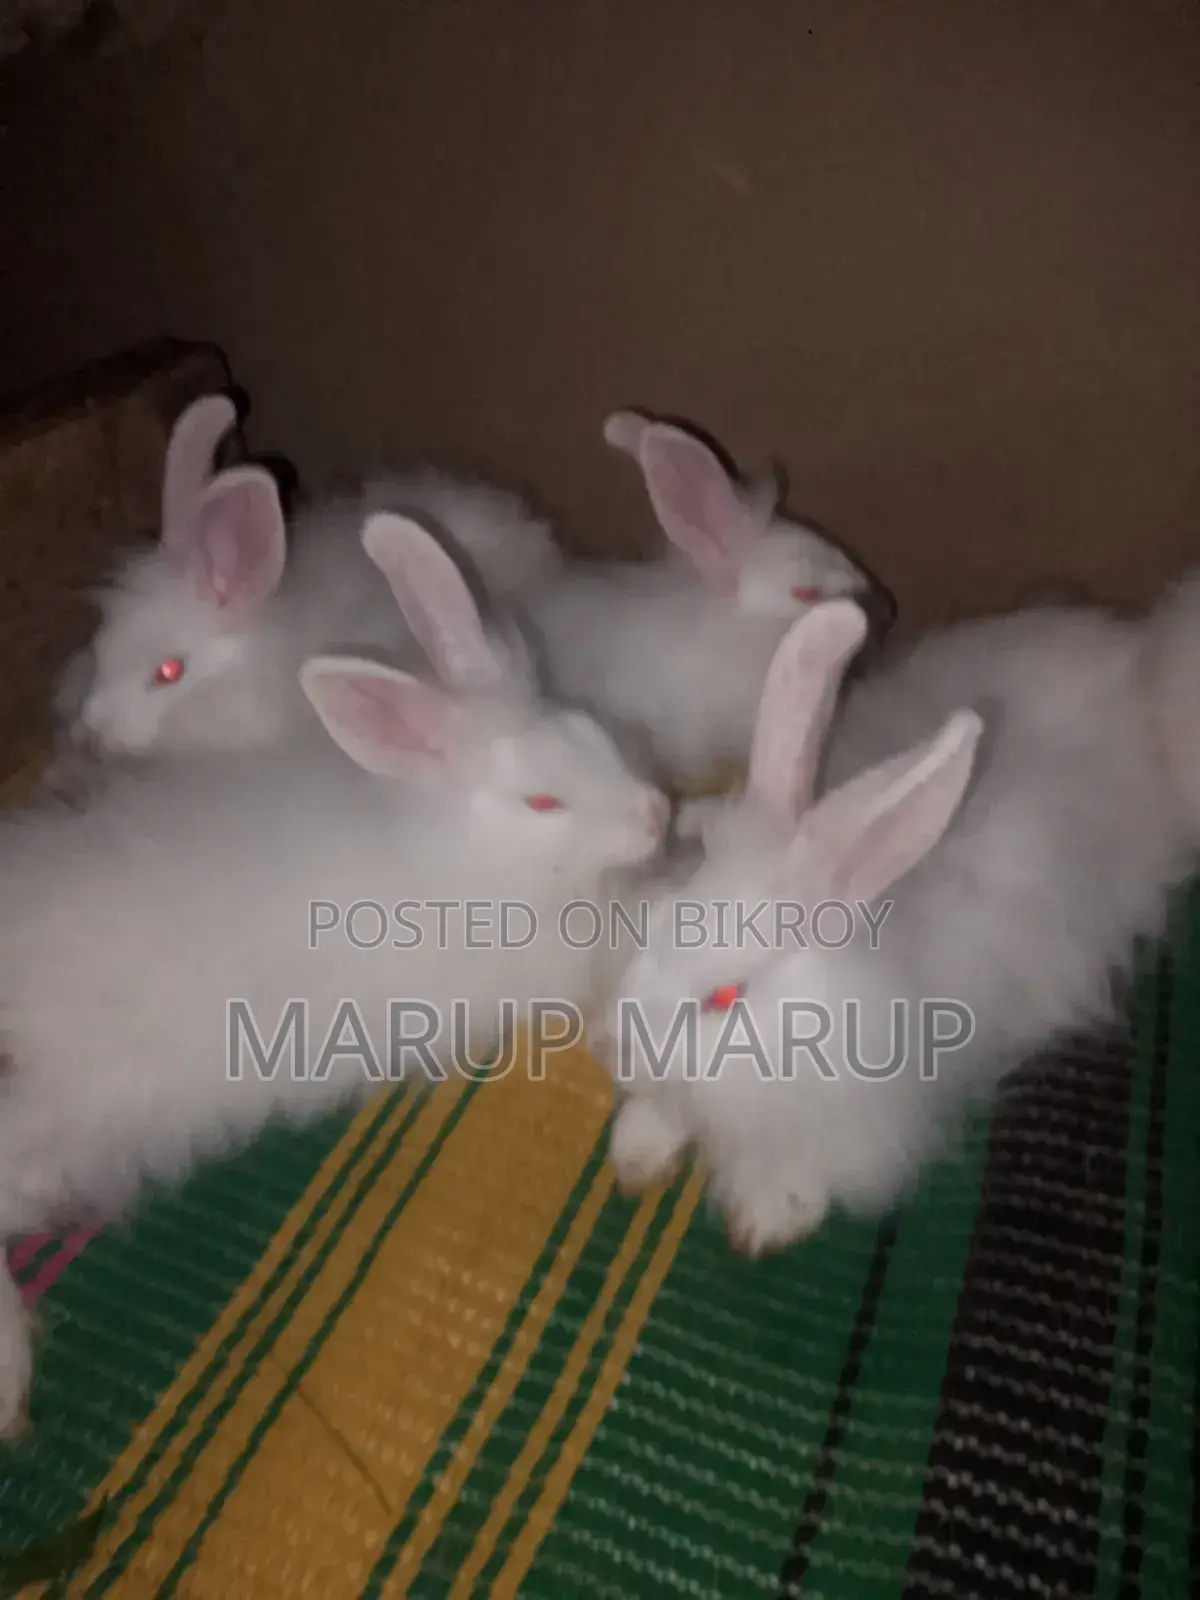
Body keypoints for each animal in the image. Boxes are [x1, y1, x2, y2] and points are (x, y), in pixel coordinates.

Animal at [590, 573, 1200, 1258]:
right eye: (657, 925)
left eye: (725, 998)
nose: (607, 1050)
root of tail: (1138, 660)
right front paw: (636, 1155)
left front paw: (765, 1219)